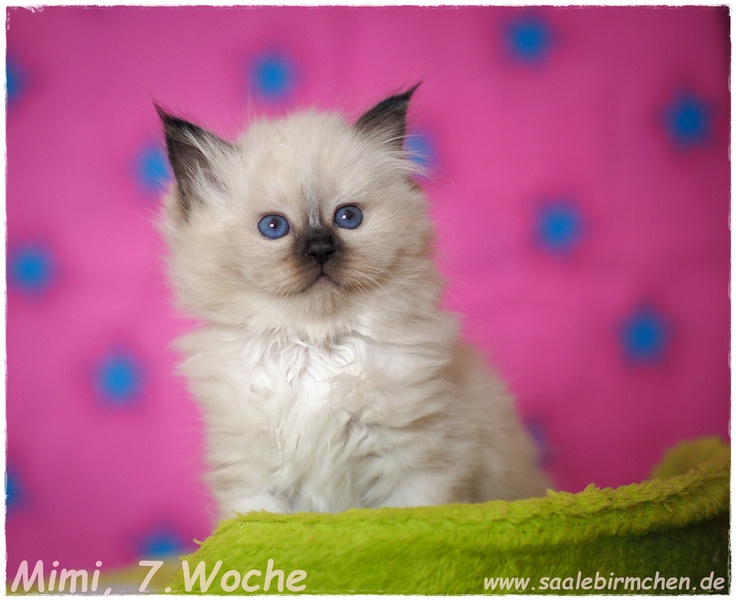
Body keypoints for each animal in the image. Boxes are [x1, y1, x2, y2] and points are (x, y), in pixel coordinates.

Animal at [157, 85, 549, 518]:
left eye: (348, 218)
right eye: (273, 227)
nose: (320, 249)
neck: (314, 347)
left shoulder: (412, 464)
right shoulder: (254, 480)